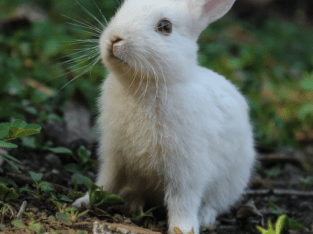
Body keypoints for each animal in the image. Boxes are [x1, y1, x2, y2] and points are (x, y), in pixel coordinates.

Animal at [73, 0, 256, 233]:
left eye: (165, 27)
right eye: (122, 8)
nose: (115, 38)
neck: (144, 84)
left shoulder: (186, 170)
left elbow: (183, 202)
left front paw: (184, 229)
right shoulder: (114, 156)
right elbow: (105, 182)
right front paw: (83, 202)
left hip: (230, 182)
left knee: (213, 204)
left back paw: (204, 218)